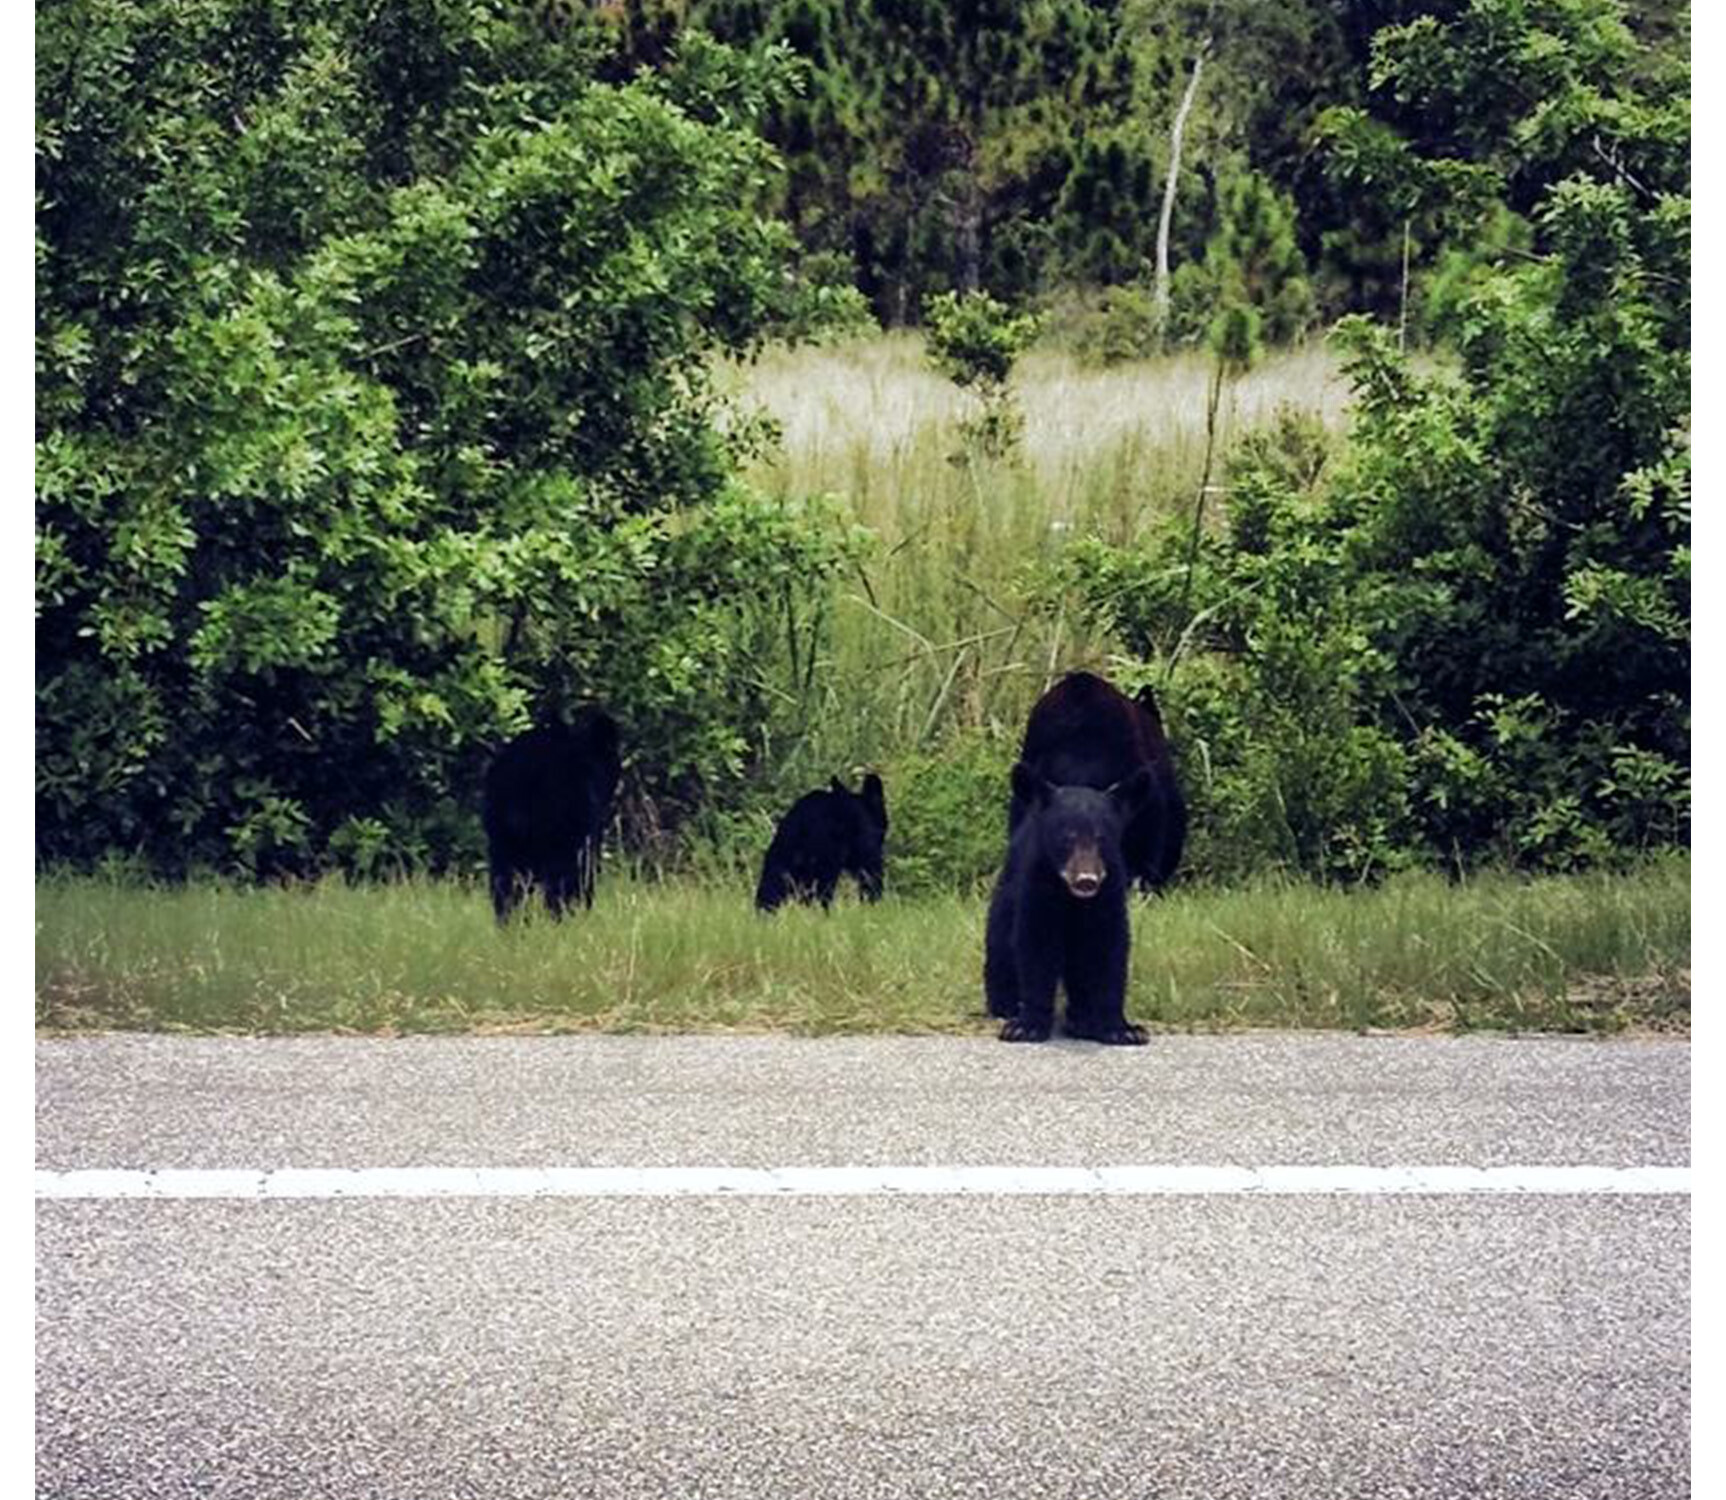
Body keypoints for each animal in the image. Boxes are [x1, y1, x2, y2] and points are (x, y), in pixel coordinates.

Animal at [985, 761, 1153, 1044]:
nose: (1086, 880)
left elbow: (1109, 950)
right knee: (1000, 941)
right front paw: (1026, 1026)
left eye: (1102, 838)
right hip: (1006, 891)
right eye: (1067, 837)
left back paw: (1081, 1018)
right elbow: (1036, 947)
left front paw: (1123, 1028)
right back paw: (1005, 1003)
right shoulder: (1037, 886)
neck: (1071, 899)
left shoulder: (1109, 895)